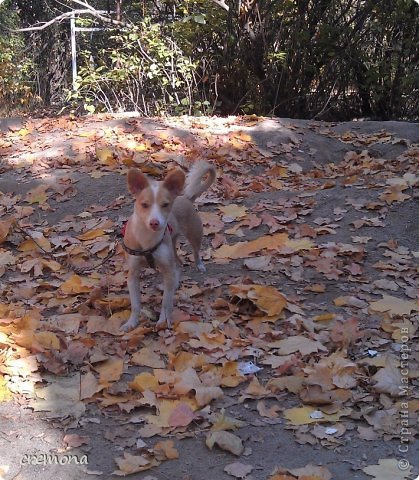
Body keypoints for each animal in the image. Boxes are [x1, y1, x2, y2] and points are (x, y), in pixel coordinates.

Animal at [120, 160, 215, 330]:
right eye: (144, 205)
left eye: (165, 205)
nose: (155, 222)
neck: (147, 239)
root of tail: (186, 198)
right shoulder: (133, 274)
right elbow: (136, 304)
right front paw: (131, 323)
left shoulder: (166, 267)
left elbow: (166, 302)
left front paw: (163, 321)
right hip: (173, 244)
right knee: (178, 263)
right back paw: (175, 282)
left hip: (194, 236)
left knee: (195, 253)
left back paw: (198, 265)